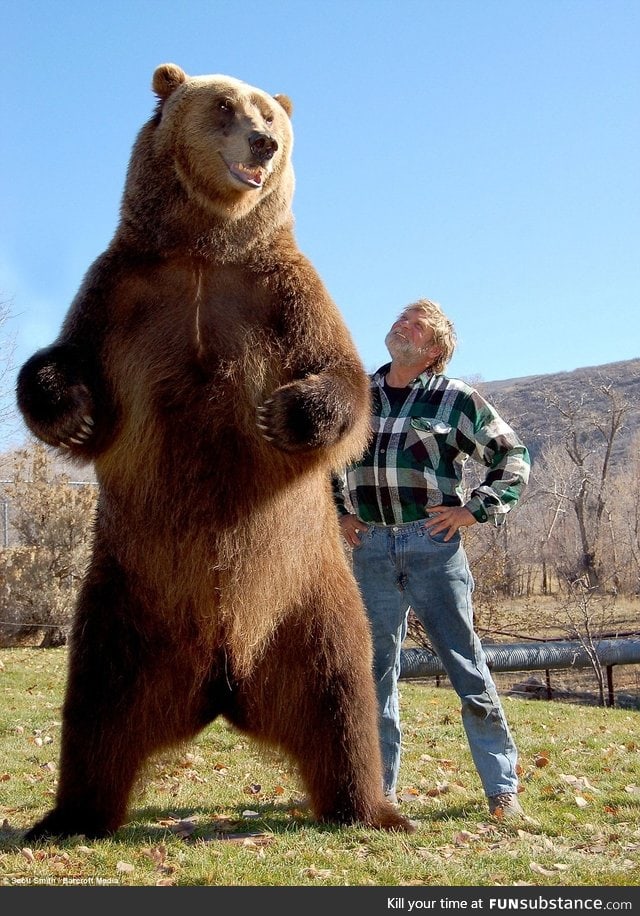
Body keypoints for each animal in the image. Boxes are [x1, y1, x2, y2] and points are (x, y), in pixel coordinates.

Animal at [17, 62, 416, 836]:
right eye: (225, 106)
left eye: (270, 113)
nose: (264, 143)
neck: (206, 248)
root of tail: (224, 682)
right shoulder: (125, 290)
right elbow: (69, 360)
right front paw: (71, 413)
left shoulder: (281, 291)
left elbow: (341, 378)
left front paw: (285, 413)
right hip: (125, 604)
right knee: (95, 712)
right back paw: (69, 815)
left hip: (308, 598)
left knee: (343, 699)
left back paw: (373, 809)